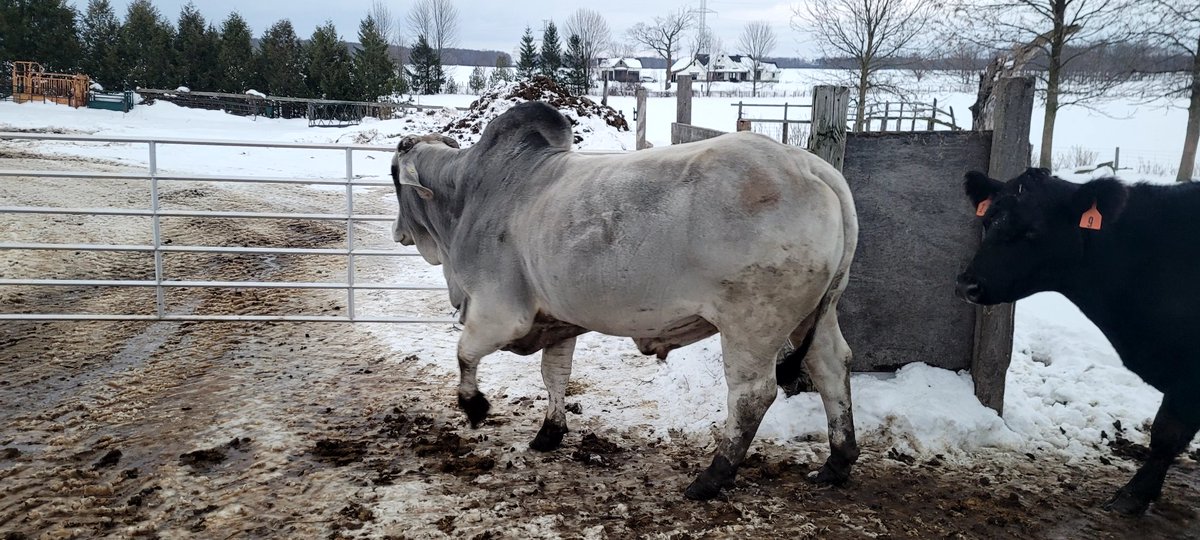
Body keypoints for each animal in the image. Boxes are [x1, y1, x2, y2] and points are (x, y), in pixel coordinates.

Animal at [389, 101, 860, 500]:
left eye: (394, 174)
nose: (398, 233)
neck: (470, 195)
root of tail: (810, 166)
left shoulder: (499, 314)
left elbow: (465, 354)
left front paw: (474, 407)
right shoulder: (558, 321)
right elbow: (554, 376)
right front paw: (549, 434)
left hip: (752, 322)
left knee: (752, 394)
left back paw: (712, 477)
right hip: (814, 314)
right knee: (831, 367)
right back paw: (836, 464)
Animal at [956, 167, 1200, 515]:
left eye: (1033, 231)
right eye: (988, 220)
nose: (968, 285)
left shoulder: (1188, 378)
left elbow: (1166, 435)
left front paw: (1132, 496)